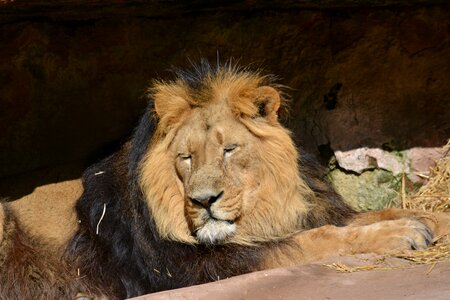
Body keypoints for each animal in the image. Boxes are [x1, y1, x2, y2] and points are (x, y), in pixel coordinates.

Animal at [0, 61, 450, 300]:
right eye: (186, 157)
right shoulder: (197, 267)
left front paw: (430, 220)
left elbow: (367, 214)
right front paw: (402, 233)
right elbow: (318, 240)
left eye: (229, 150)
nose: (204, 201)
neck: (265, 209)